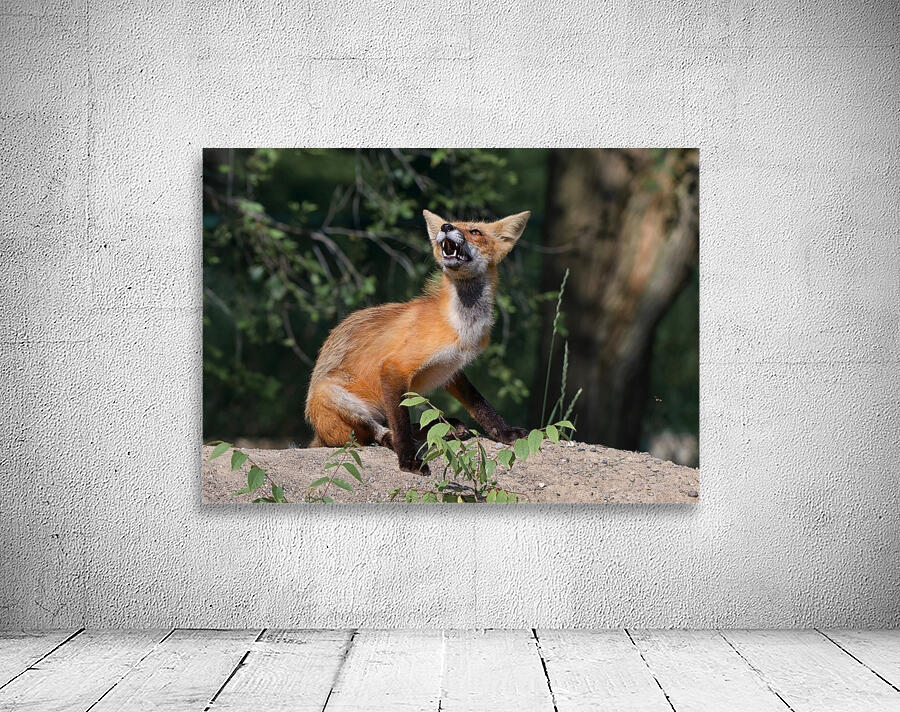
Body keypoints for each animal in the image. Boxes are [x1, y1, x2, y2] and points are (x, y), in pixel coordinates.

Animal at [304, 208, 531, 474]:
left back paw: (448, 427)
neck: (459, 325)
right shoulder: (394, 368)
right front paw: (408, 460)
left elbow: (480, 405)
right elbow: (400, 425)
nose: (445, 226)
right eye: (452, 224)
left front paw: (505, 433)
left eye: (475, 231)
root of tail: (319, 435)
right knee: (379, 433)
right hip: (334, 395)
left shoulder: (451, 368)